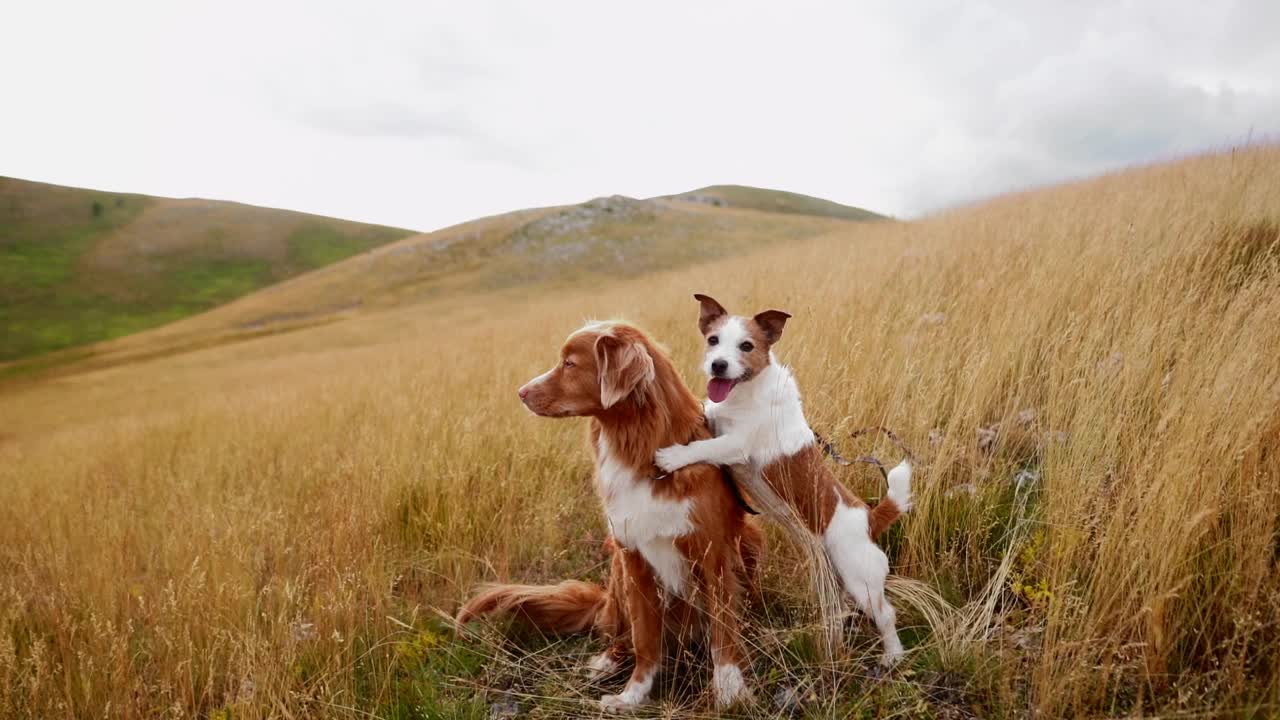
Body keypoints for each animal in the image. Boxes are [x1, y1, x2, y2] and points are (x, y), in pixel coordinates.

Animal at [655, 294, 916, 666]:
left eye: (746, 346)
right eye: (713, 340)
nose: (717, 365)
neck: (746, 393)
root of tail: (869, 518)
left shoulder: (737, 445)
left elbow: (705, 446)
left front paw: (673, 456)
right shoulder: (717, 418)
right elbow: (707, 414)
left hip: (861, 578)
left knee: (885, 614)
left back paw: (892, 654)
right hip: (835, 579)